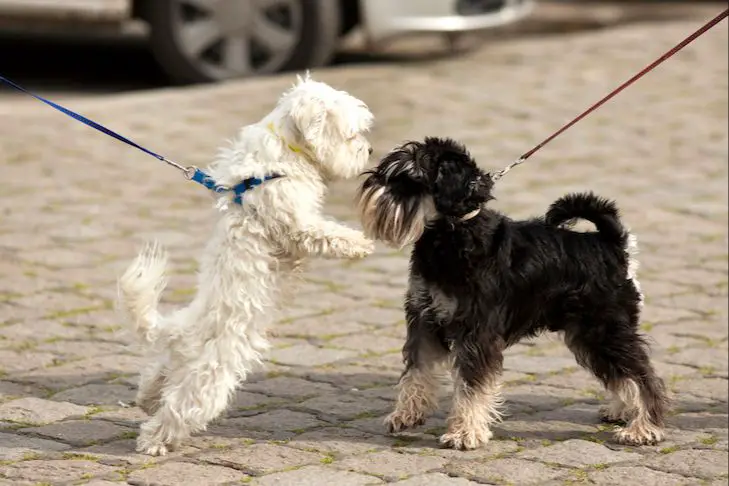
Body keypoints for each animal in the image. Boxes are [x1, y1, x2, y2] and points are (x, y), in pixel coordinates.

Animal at [118, 76, 376, 456]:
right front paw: (360, 243)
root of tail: (184, 330)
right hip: (211, 377)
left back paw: (147, 399)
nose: (369, 151)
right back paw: (154, 441)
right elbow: (325, 233)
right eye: (352, 135)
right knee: (181, 408)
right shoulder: (296, 223)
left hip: (177, 362)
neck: (284, 154)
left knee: (157, 376)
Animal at [356, 136, 668, 448]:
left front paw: (464, 432)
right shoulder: (424, 319)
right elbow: (416, 371)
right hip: (588, 336)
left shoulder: (476, 332)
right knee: (620, 373)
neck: (453, 234)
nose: (370, 184)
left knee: (643, 375)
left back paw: (643, 427)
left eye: (409, 179)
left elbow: (470, 385)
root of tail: (612, 244)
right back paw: (622, 411)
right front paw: (406, 414)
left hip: (604, 329)